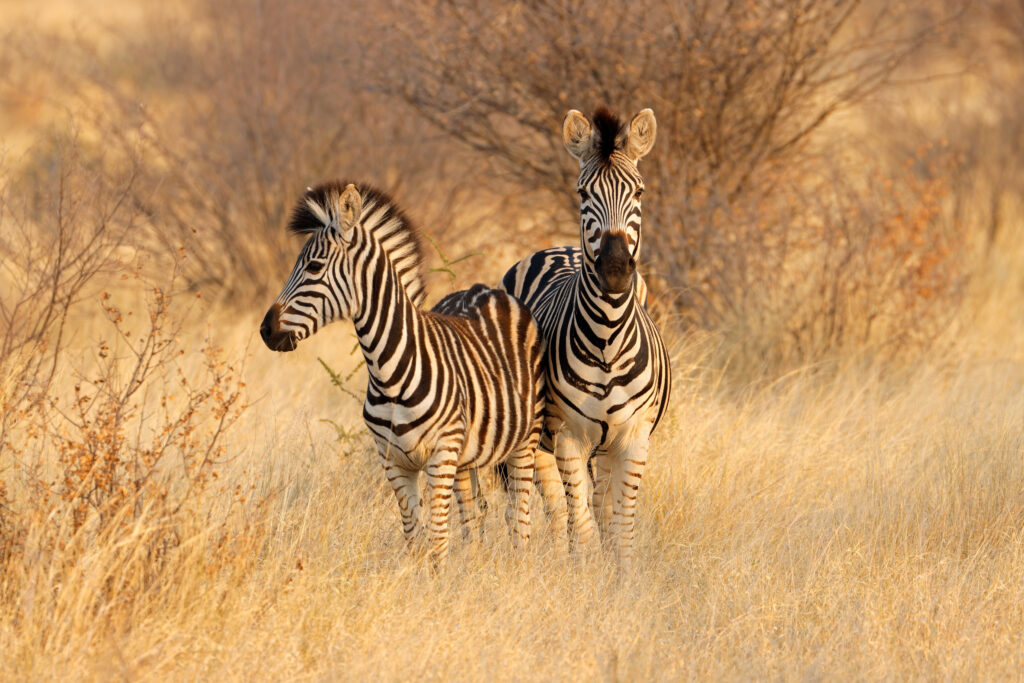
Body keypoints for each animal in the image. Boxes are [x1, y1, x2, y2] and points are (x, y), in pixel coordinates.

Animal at [258, 181, 544, 561]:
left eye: (315, 267)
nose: (266, 330)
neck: (389, 370)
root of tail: (486, 290)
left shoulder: (440, 455)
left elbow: (437, 539)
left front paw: (439, 577)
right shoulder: (393, 461)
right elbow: (413, 537)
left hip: (526, 439)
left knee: (519, 514)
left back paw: (519, 563)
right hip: (467, 457)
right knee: (474, 516)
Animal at [501, 108, 671, 565]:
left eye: (640, 191)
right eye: (582, 193)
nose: (614, 270)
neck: (608, 339)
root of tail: (558, 247)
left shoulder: (633, 437)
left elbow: (620, 529)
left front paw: (621, 578)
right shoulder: (567, 435)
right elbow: (582, 527)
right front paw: (583, 576)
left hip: (607, 446)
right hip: (539, 438)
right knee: (553, 508)